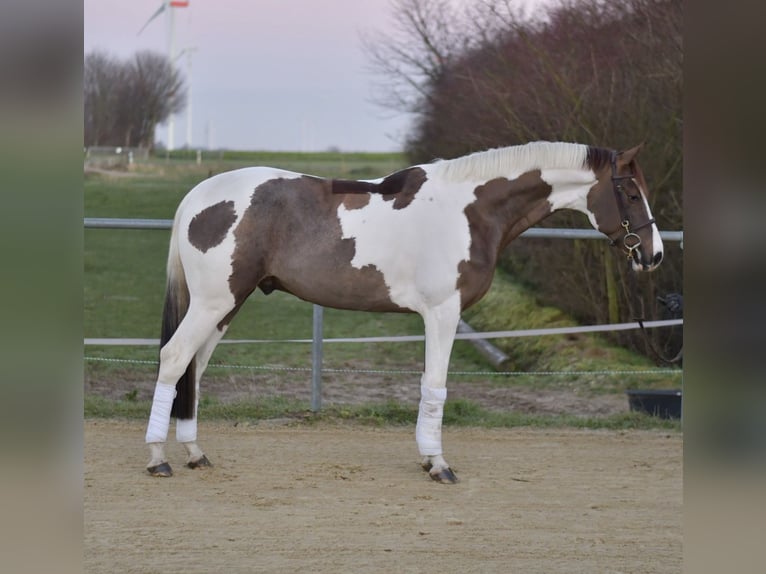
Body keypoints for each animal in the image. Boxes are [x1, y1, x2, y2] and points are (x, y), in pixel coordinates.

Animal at [145, 141, 664, 483]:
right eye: (631, 193)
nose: (654, 255)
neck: (469, 210)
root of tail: (197, 197)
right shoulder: (443, 313)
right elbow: (436, 386)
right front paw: (438, 464)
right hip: (215, 302)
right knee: (174, 359)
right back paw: (157, 458)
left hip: (226, 305)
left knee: (193, 369)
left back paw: (194, 453)